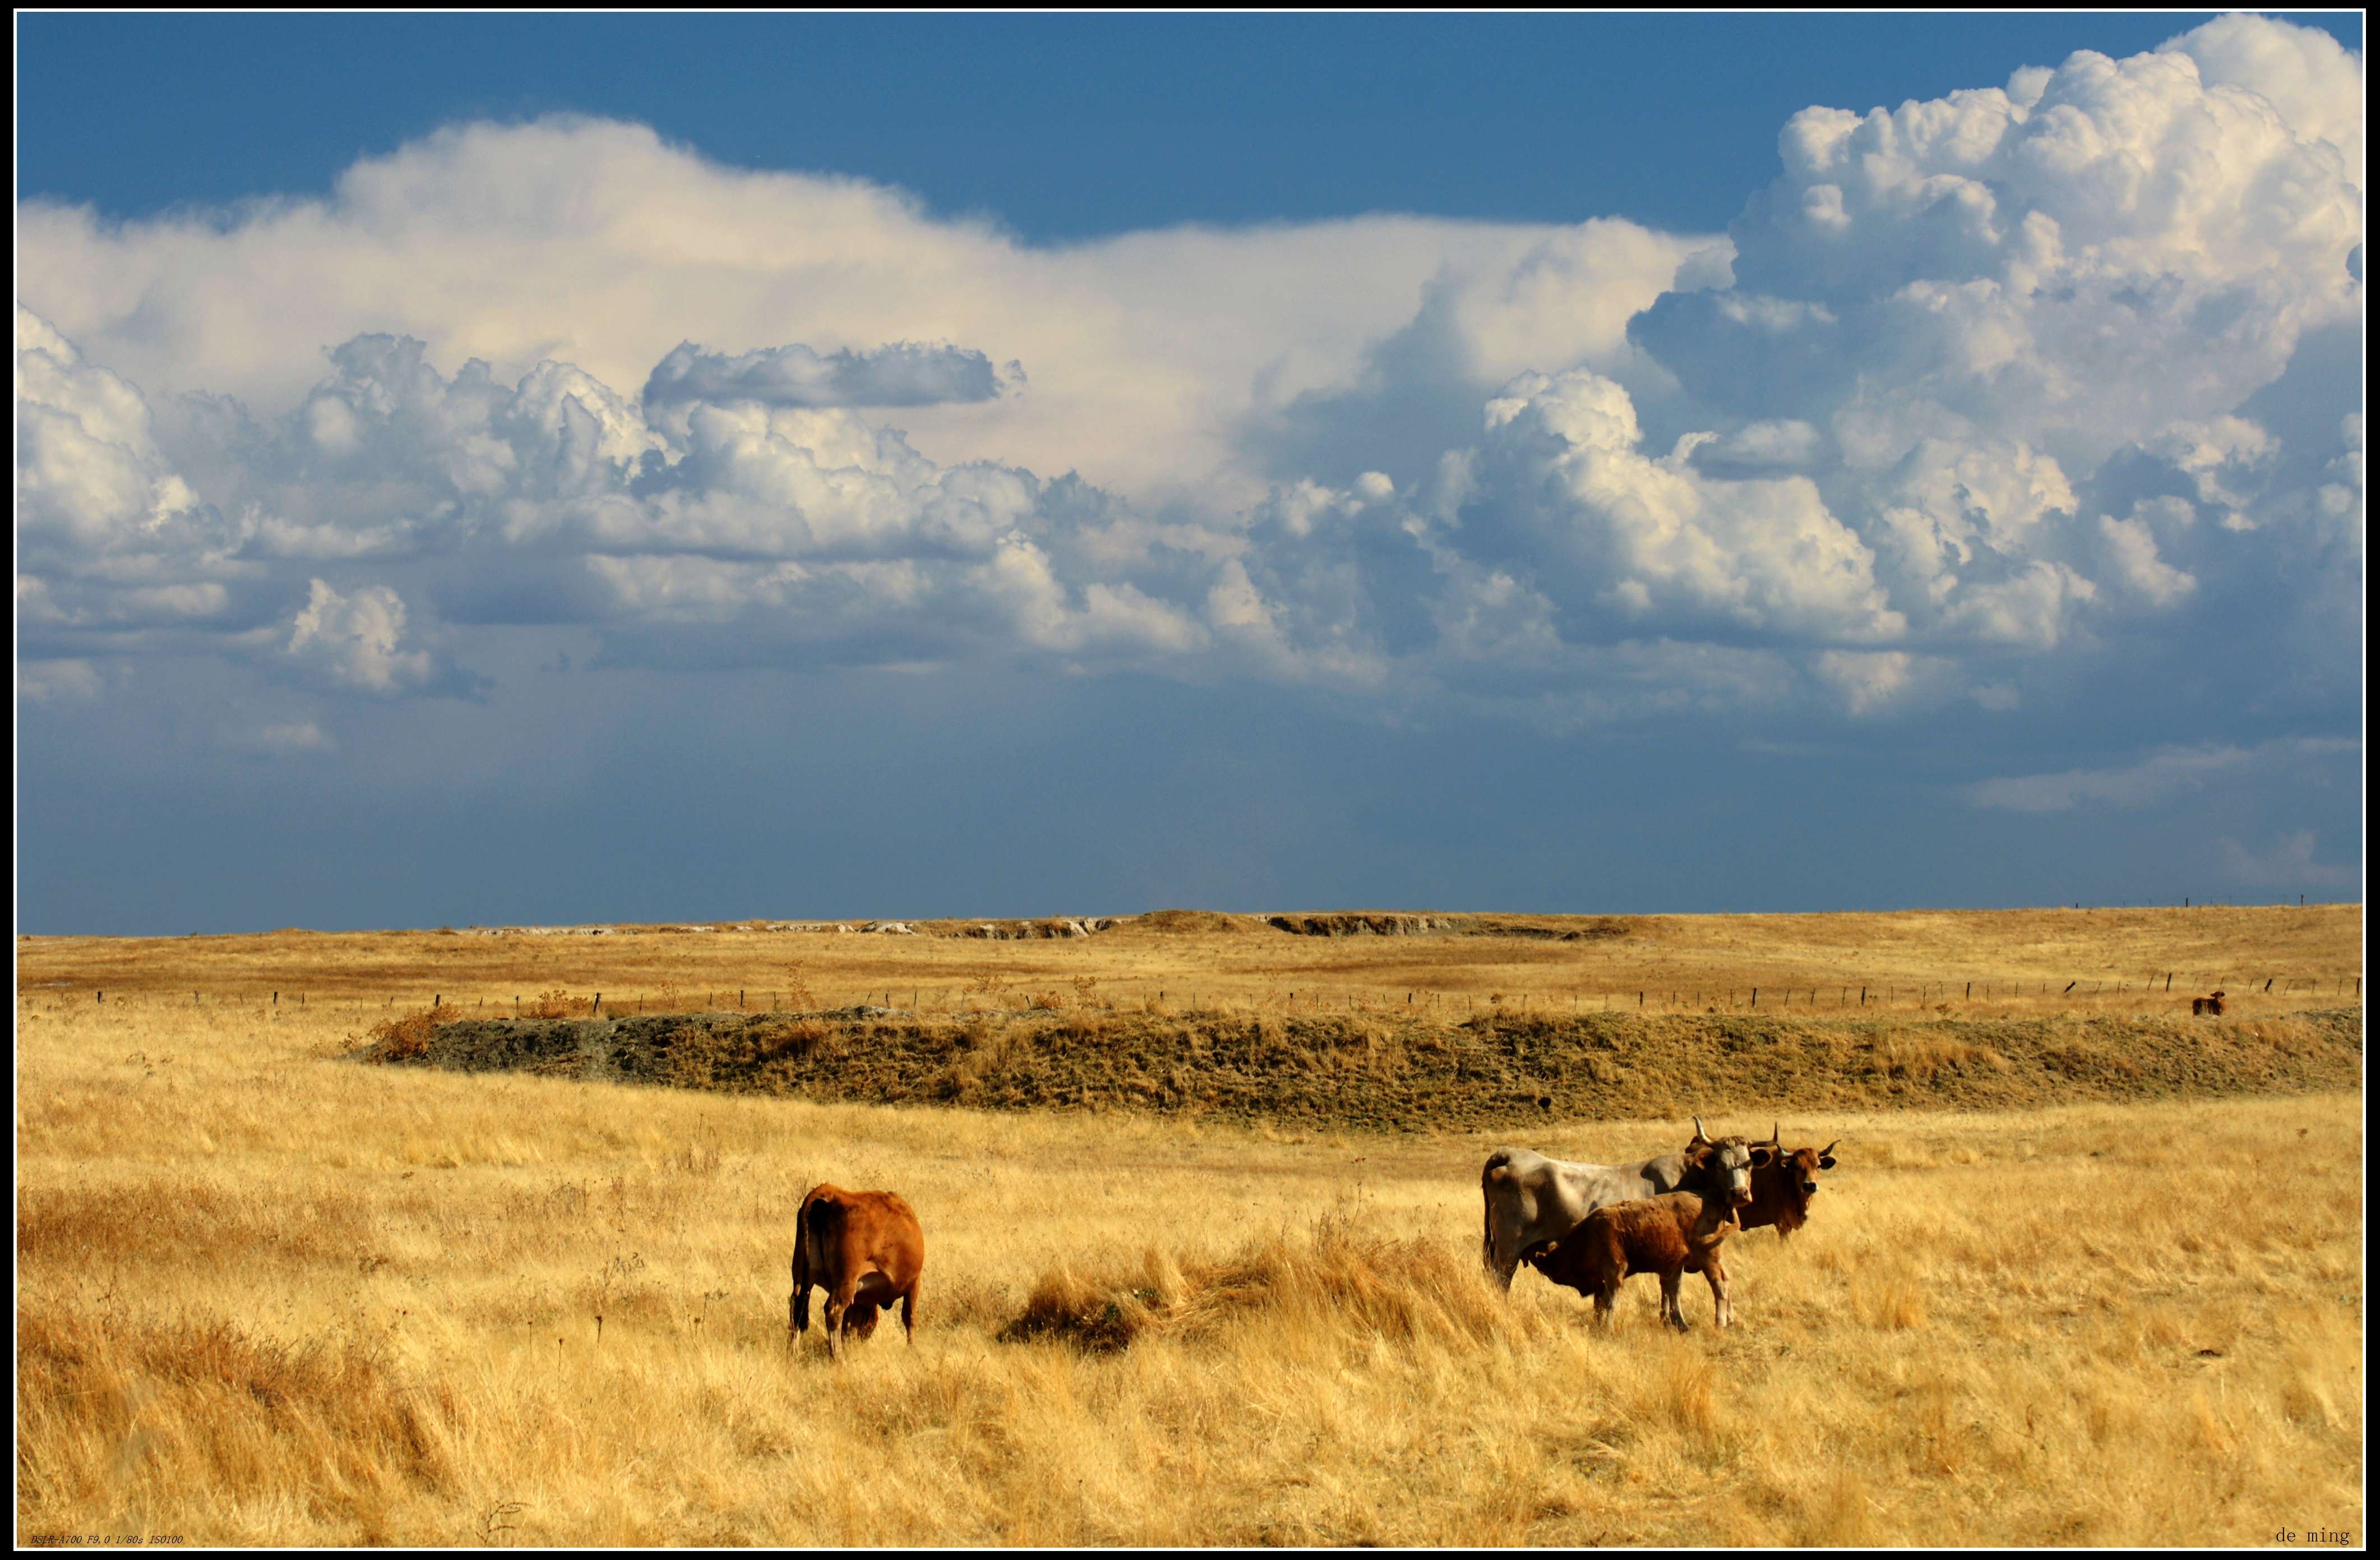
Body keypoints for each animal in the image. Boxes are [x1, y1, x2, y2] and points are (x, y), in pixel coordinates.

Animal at [785, 1190, 923, 1362]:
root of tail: (827, 1193)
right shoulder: (914, 1282)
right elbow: (910, 1317)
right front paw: (913, 1348)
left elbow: (849, 1325)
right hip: (845, 1282)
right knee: (833, 1311)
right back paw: (838, 1356)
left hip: (803, 1277)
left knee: (797, 1308)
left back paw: (794, 1353)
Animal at [1523, 1196, 1752, 1333]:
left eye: (1555, 1270)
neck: (1590, 1234)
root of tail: (1712, 1204)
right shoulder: (1603, 1279)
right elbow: (1600, 1303)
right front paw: (1598, 1324)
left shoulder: (1614, 1270)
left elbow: (1610, 1301)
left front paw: (1608, 1329)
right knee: (1720, 1282)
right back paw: (1722, 1322)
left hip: (1709, 1258)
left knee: (1719, 1284)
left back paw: (1719, 1324)